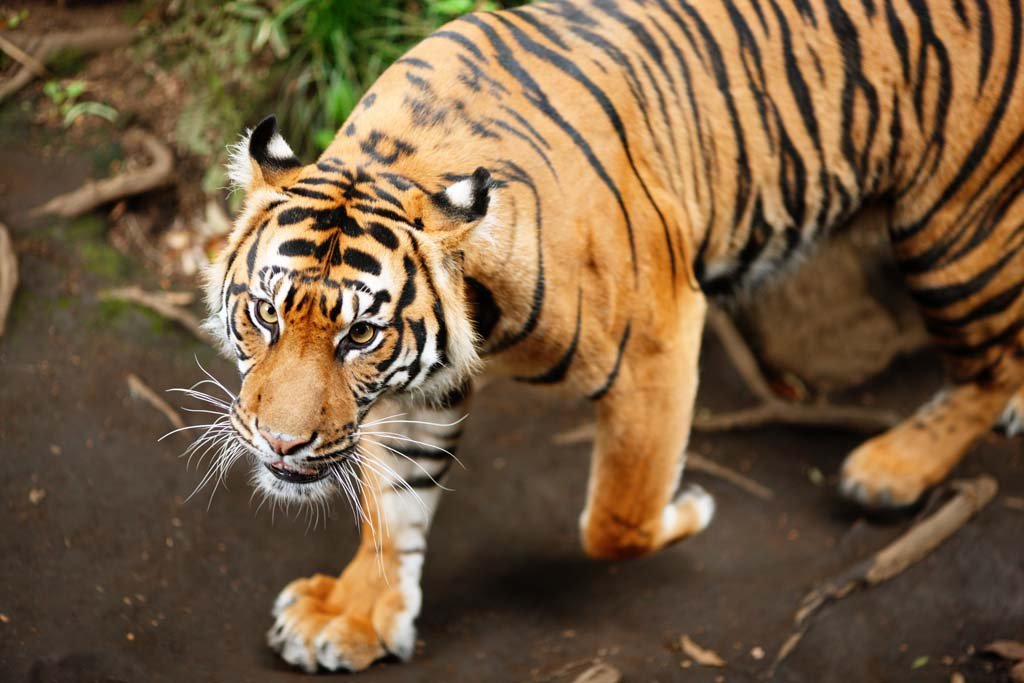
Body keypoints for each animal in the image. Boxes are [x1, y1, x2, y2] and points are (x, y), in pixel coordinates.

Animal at [201, 0, 1024, 672]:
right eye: (267, 314)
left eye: (362, 334)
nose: (280, 444)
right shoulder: (413, 389)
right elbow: (395, 500)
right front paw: (358, 615)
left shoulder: (659, 339)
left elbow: (616, 519)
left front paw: (688, 509)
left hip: (956, 226)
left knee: (989, 364)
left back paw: (890, 471)